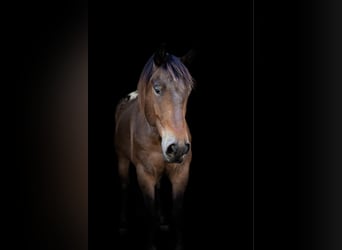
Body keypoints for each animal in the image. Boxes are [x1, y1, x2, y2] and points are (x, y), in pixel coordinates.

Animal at [115, 46, 195, 249]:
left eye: (188, 91)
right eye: (157, 89)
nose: (178, 147)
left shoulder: (181, 173)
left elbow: (177, 213)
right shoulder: (145, 174)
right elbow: (150, 214)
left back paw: (163, 221)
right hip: (122, 159)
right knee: (124, 186)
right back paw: (123, 225)